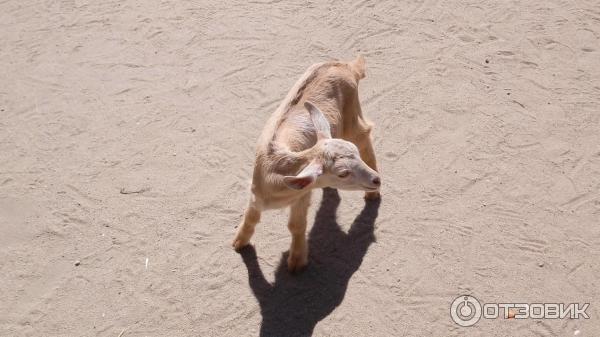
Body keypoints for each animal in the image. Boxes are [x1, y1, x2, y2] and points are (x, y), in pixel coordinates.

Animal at [233, 55, 380, 270]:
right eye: (343, 173)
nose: (377, 180)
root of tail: (346, 66)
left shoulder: (302, 196)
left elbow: (296, 225)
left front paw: (296, 262)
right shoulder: (256, 192)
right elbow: (252, 216)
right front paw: (239, 242)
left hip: (353, 117)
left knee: (365, 138)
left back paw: (373, 195)